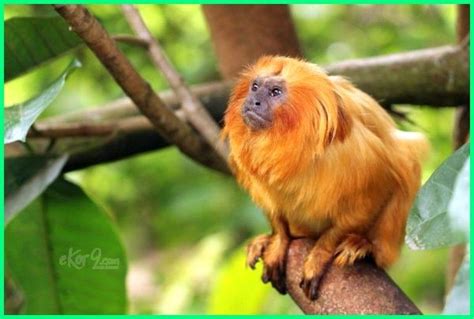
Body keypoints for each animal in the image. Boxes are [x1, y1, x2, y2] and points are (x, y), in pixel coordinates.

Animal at [220, 56, 428, 302]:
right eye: (255, 87)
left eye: (275, 92)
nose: (253, 102)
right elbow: (274, 210)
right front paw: (278, 241)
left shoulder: (358, 156)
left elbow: (371, 197)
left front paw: (320, 254)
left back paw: (365, 245)